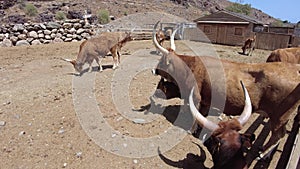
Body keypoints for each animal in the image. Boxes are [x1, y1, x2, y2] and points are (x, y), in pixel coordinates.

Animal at [152, 21, 300, 158]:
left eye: (161, 60)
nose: (154, 70)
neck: (191, 67)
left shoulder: (195, 97)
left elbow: (195, 115)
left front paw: (191, 130)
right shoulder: (205, 100)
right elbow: (201, 115)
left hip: (279, 117)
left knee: (278, 135)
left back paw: (263, 153)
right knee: (280, 134)